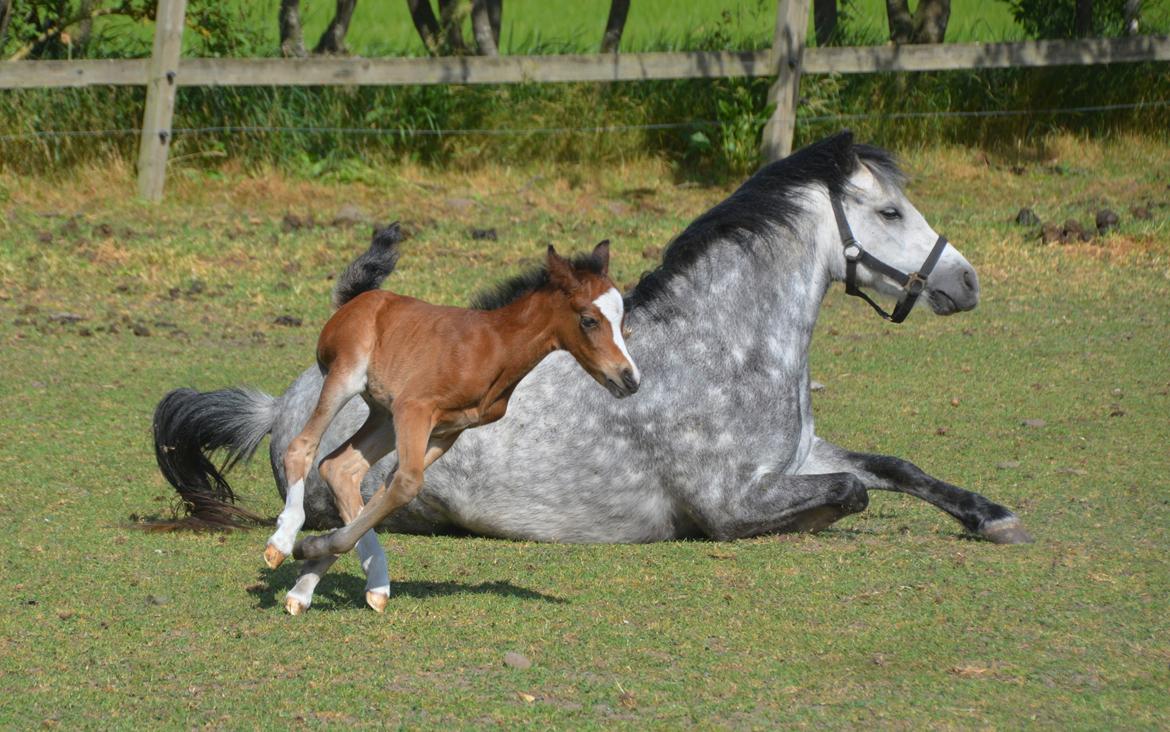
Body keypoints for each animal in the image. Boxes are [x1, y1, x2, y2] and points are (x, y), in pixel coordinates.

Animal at [259, 231, 639, 613]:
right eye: (588, 320)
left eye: (623, 323)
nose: (630, 379)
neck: (495, 348)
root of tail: (353, 302)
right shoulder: (415, 408)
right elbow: (407, 484)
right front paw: (301, 548)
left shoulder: (447, 430)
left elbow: (392, 488)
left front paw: (311, 556)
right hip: (345, 378)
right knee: (302, 447)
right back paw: (283, 542)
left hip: (384, 415)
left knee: (340, 467)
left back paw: (338, 586)